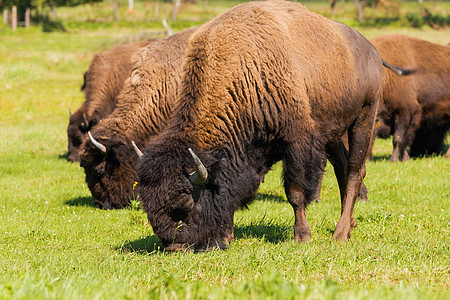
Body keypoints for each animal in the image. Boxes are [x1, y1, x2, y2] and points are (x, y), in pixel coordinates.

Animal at [136, 1, 390, 252]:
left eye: (187, 204)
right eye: (148, 208)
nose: (174, 247)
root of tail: (371, 50)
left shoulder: (297, 143)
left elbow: (295, 192)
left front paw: (302, 236)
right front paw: (227, 235)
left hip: (364, 117)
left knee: (355, 171)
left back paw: (341, 233)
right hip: (332, 131)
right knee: (342, 167)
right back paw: (351, 224)